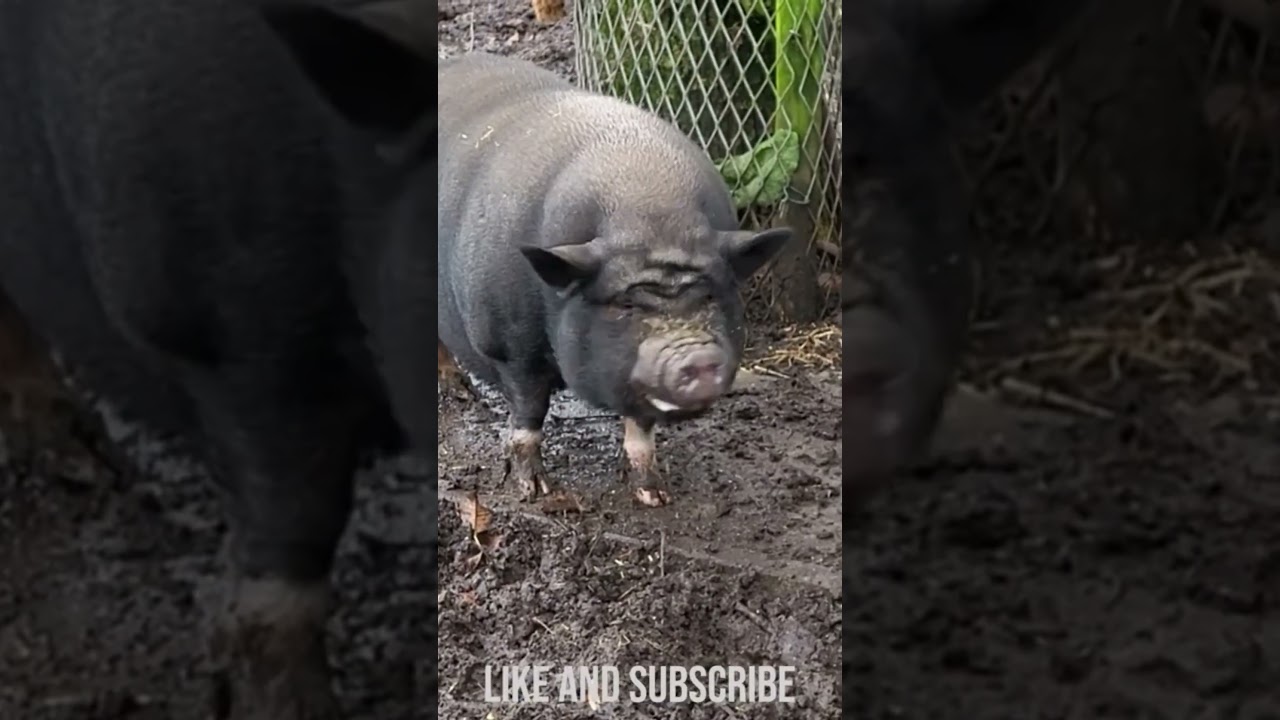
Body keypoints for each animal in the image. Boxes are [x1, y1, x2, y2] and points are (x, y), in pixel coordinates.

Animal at [437, 52, 792, 508]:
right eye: (625, 305)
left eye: (711, 296)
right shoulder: (509, 346)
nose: (695, 357)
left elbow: (640, 430)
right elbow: (528, 416)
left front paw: (654, 496)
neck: (651, 219)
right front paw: (534, 490)